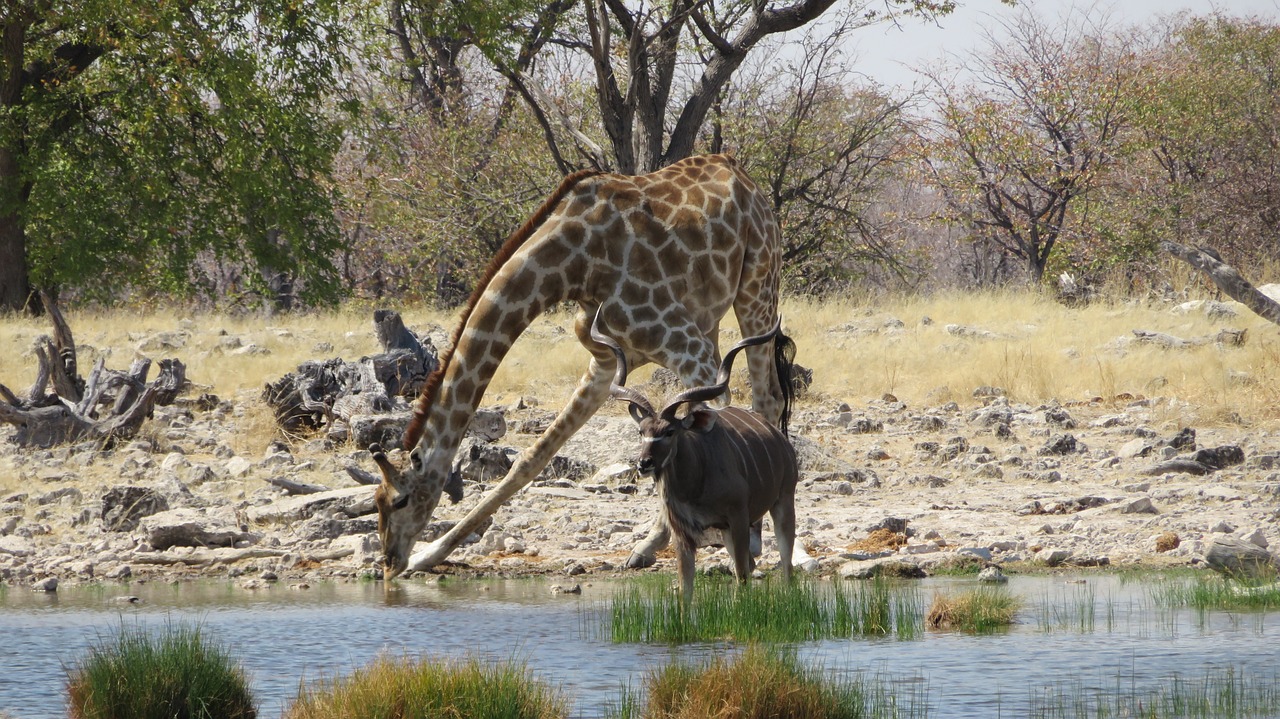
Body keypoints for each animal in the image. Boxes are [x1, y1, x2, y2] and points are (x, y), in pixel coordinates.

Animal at [371, 154, 783, 578]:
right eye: (376, 502)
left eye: (400, 500)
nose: (389, 562)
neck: (571, 265)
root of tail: (741, 173)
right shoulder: (606, 361)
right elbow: (531, 459)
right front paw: (429, 555)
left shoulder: (685, 344)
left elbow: (706, 425)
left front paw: (737, 541)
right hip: (712, 318)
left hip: (758, 286)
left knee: (767, 398)